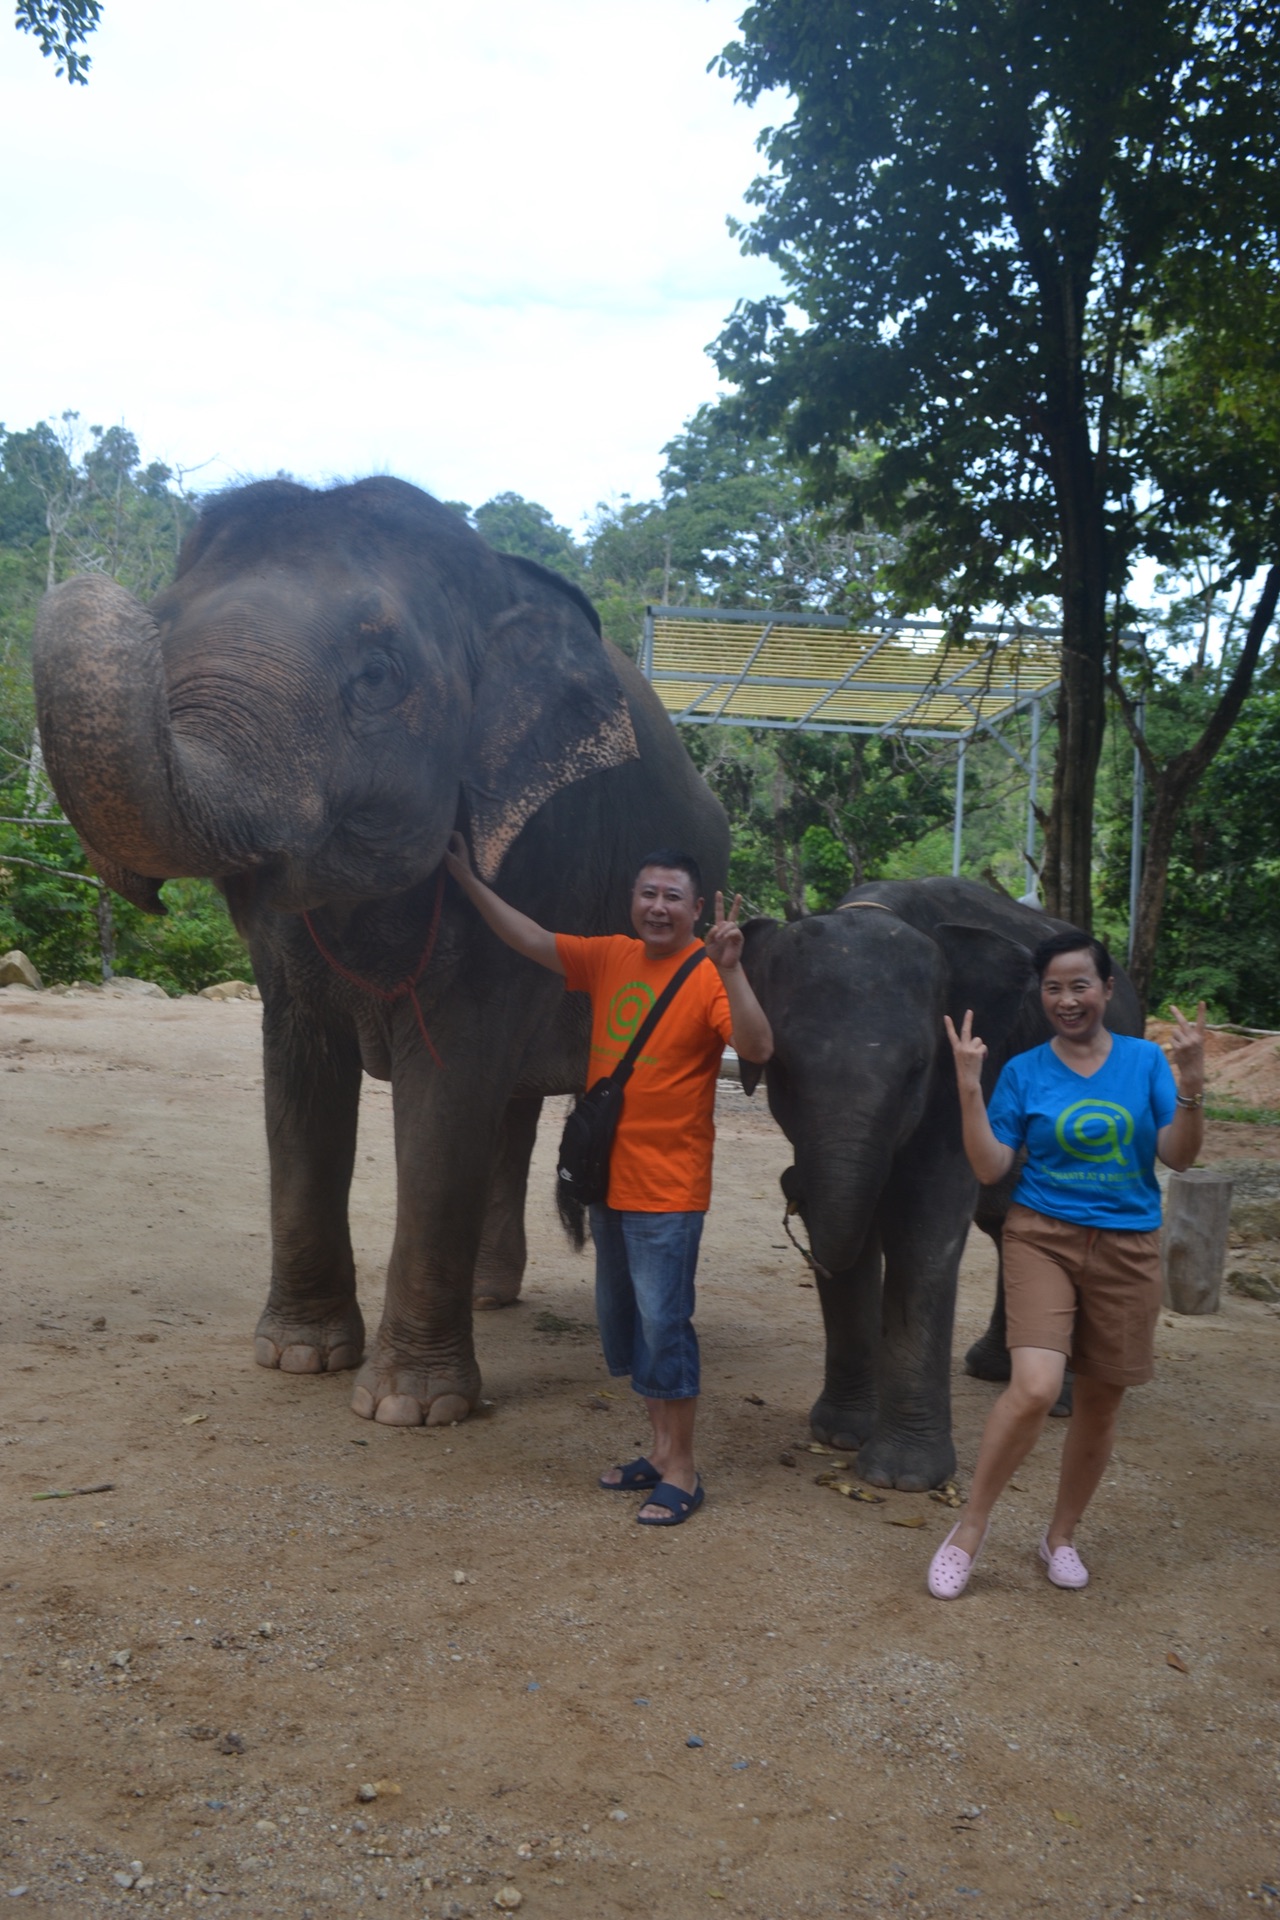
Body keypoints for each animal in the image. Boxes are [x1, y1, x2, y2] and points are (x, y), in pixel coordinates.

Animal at [740, 879, 1143, 1489]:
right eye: (780, 1067)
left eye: (917, 1069)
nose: (792, 1185)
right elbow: (856, 1231)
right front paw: (840, 1436)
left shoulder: (966, 1079)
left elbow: (925, 1221)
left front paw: (902, 1478)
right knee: (1006, 1223)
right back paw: (992, 1367)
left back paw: (1059, 1400)